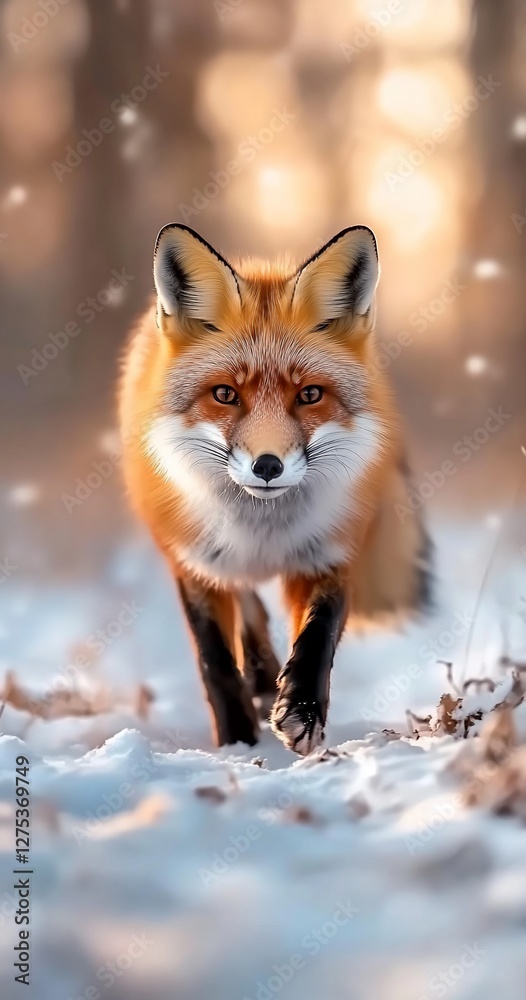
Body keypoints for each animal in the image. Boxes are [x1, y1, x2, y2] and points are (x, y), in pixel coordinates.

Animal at [119, 223, 432, 755]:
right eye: (225, 394)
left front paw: (301, 709)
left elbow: (319, 634)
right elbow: (214, 659)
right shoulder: (194, 562)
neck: (263, 531)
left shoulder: (330, 553)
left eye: (310, 394)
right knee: (249, 610)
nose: (268, 466)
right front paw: (237, 740)